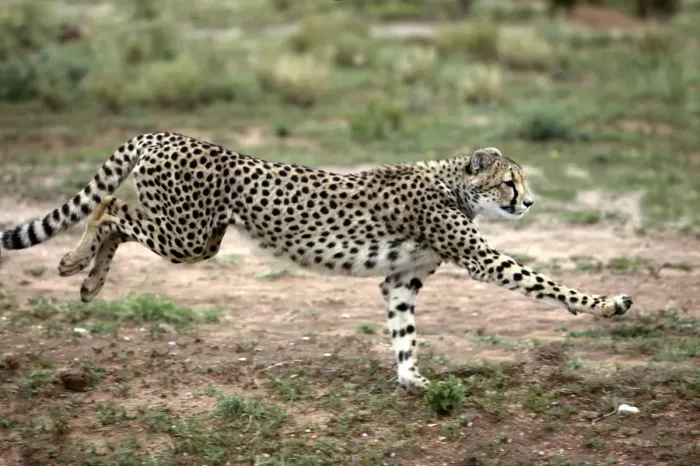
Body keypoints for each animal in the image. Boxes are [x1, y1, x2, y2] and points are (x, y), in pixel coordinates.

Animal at [0, 131, 633, 393]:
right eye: (509, 182)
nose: (528, 203)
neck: (455, 183)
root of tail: (167, 134)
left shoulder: (399, 279)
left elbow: (403, 331)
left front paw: (411, 379)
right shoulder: (479, 258)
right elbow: (542, 281)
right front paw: (606, 303)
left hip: (194, 236)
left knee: (113, 211)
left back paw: (84, 280)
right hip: (189, 235)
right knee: (109, 209)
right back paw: (77, 267)